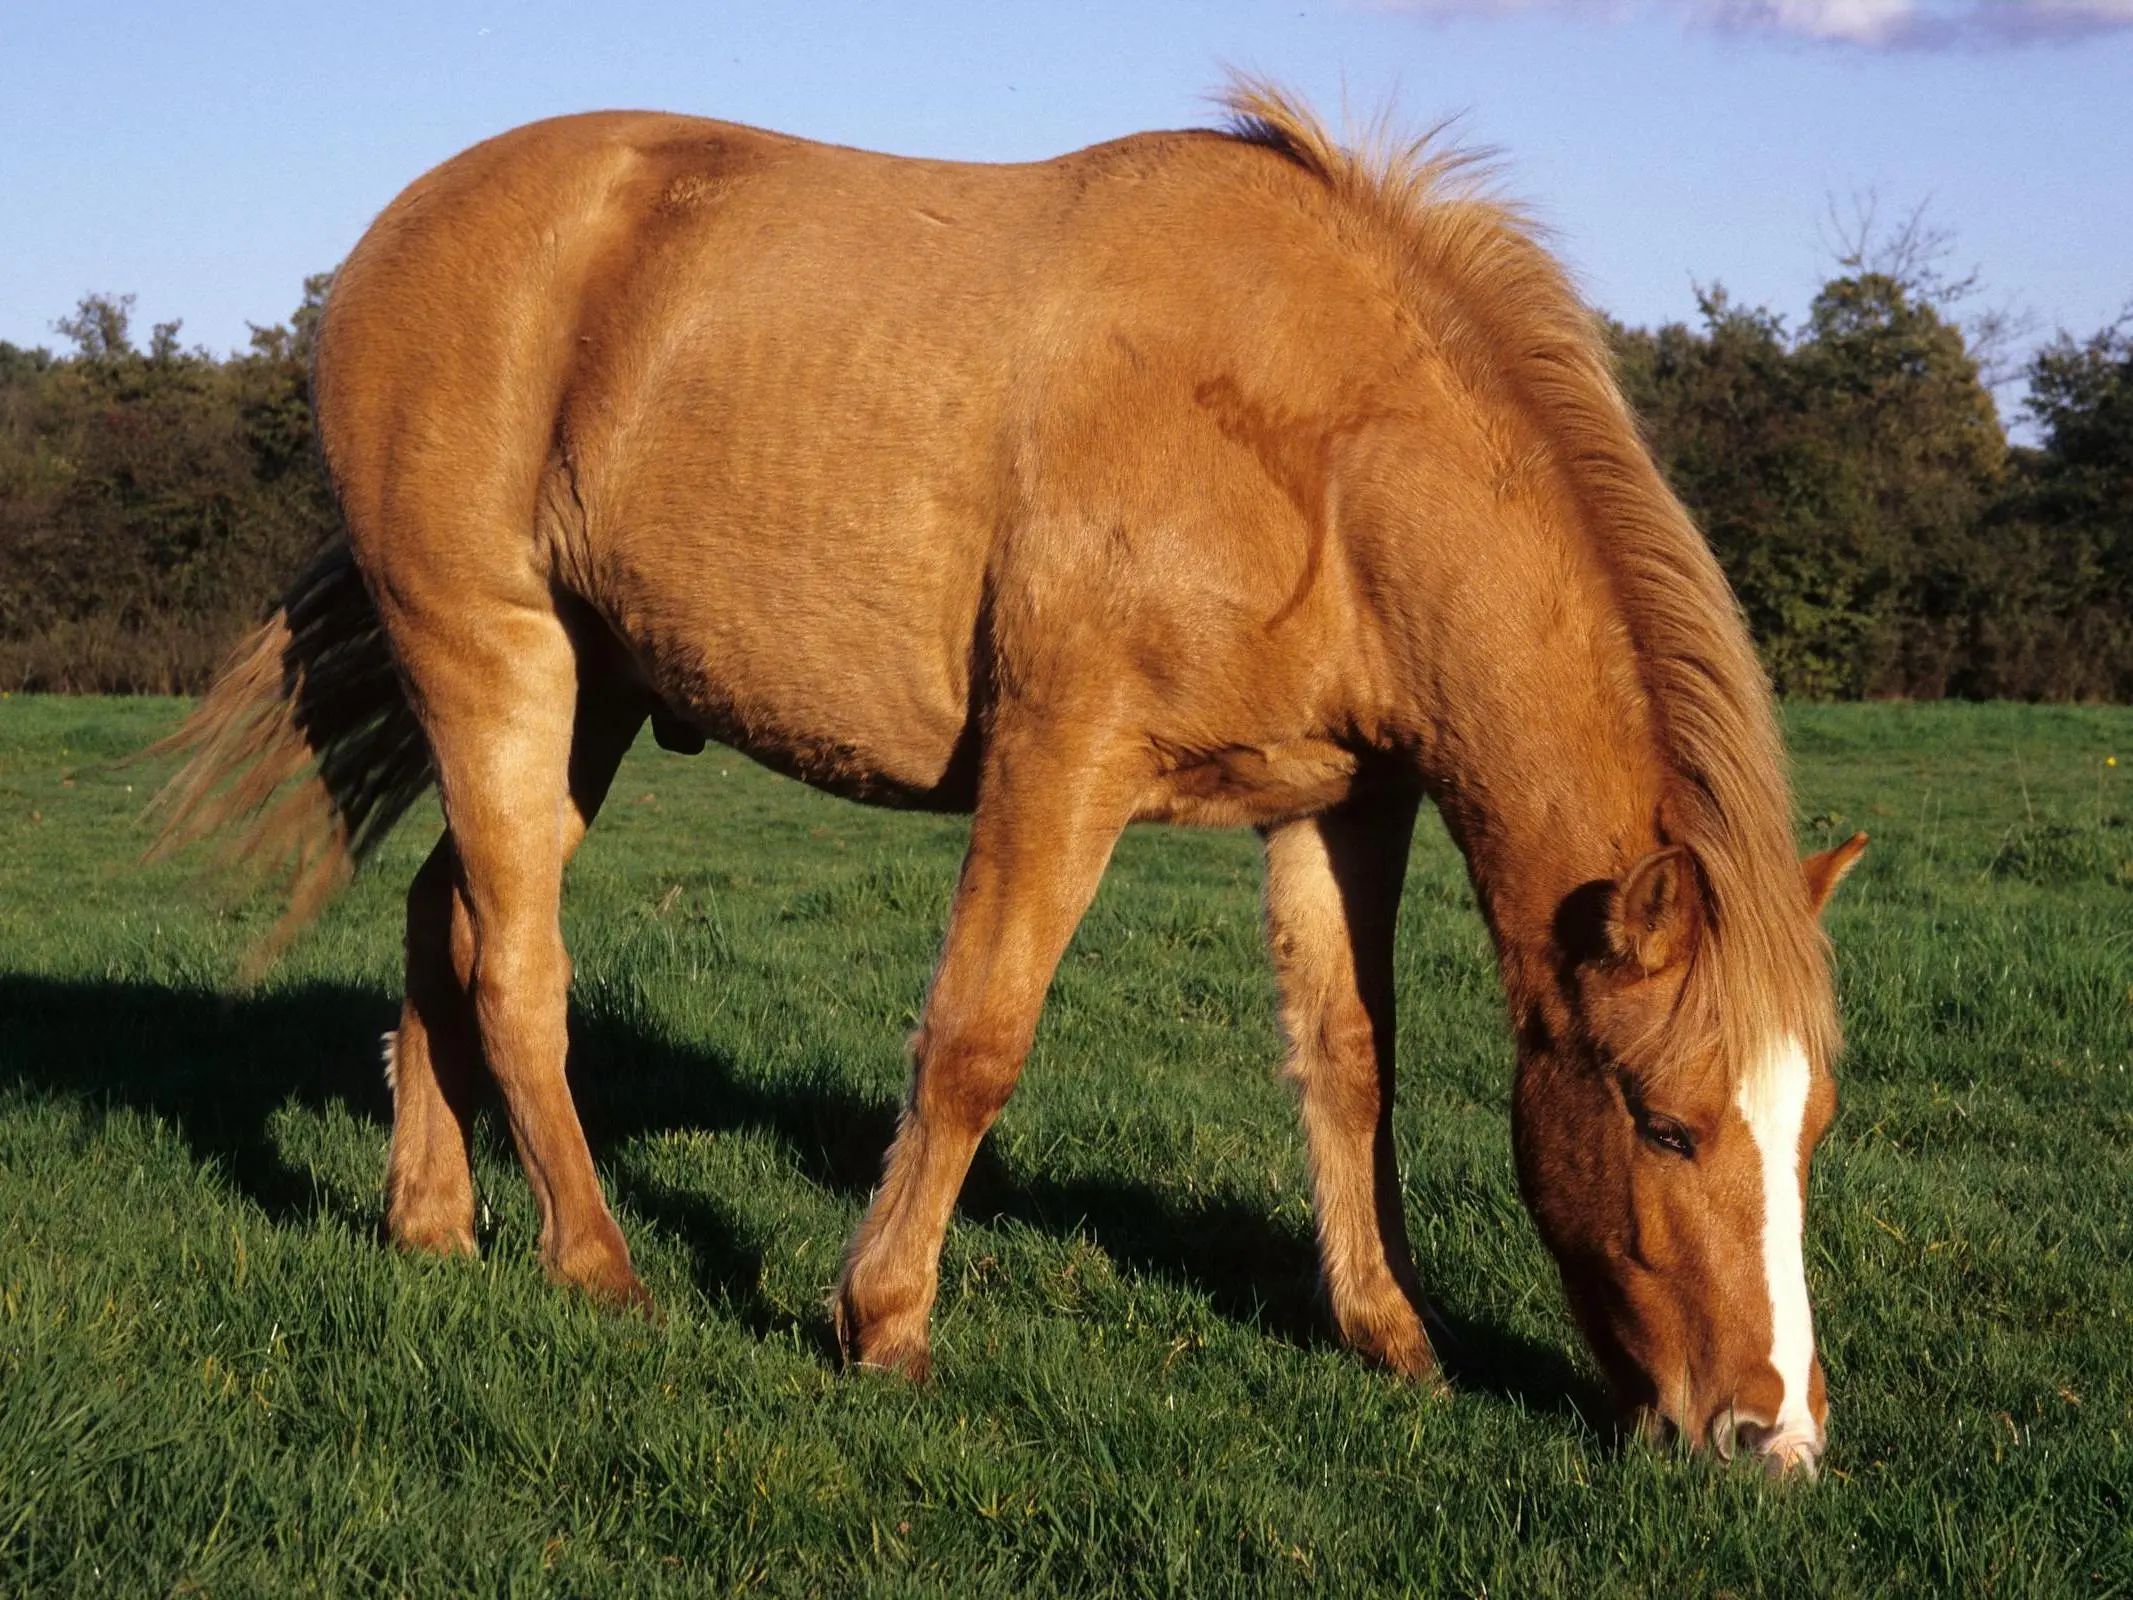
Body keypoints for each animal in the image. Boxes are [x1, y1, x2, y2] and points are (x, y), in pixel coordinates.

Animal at [157, 81, 1868, 1476]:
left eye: (1812, 1129)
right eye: (1665, 1126)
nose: (1771, 1439)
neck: (1316, 438)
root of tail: (402, 232)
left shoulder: (1341, 804)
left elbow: (1349, 1063)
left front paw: (1392, 1339)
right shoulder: (1064, 759)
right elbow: (977, 1040)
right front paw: (882, 1320)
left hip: (591, 695)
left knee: (444, 922)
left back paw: (432, 1223)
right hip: (493, 661)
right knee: (518, 968)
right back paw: (596, 1267)